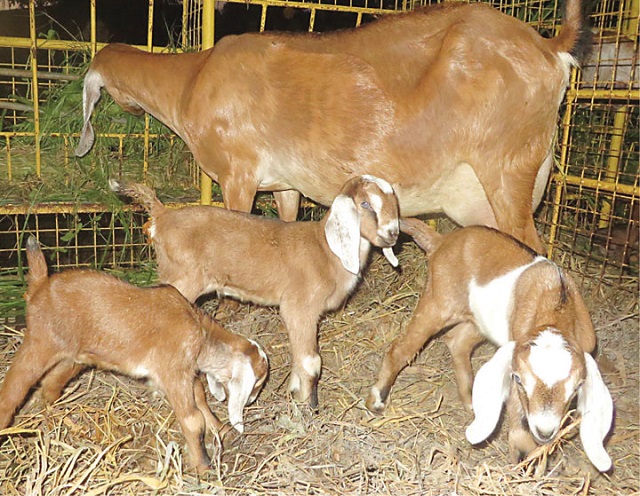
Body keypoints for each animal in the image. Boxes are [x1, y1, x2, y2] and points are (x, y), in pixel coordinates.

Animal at [0, 236, 269, 473]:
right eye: (256, 384)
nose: (252, 401)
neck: (201, 332)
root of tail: (40, 287)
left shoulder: (181, 372)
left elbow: (200, 395)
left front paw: (221, 430)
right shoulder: (173, 370)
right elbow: (192, 419)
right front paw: (203, 467)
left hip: (74, 356)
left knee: (50, 383)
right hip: (40, 342)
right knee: (13, 387)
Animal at [76, 0, 592, 252]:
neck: (193, 78)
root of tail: (550, 46)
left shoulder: (237, 173)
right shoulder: (284, 182)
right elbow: (282, 226)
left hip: (507, 168)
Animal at [110, 175, 400, 408]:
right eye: (365, 204)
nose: (393, 234)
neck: (326, 250)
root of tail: (162, 216)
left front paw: (294, 391)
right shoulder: (299, 308)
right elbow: (311, 362)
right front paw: (306, 404)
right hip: (183, 278)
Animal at [366, 219, 613, 472]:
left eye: (576, 387)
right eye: (518, 380)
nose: (544, 431)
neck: (557, 303)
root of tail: (441, 241)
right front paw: (526, 459)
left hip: (478, 321)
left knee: (457, 342)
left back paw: (471, 401)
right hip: (438, 303)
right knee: (401, 349)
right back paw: (376, 399)